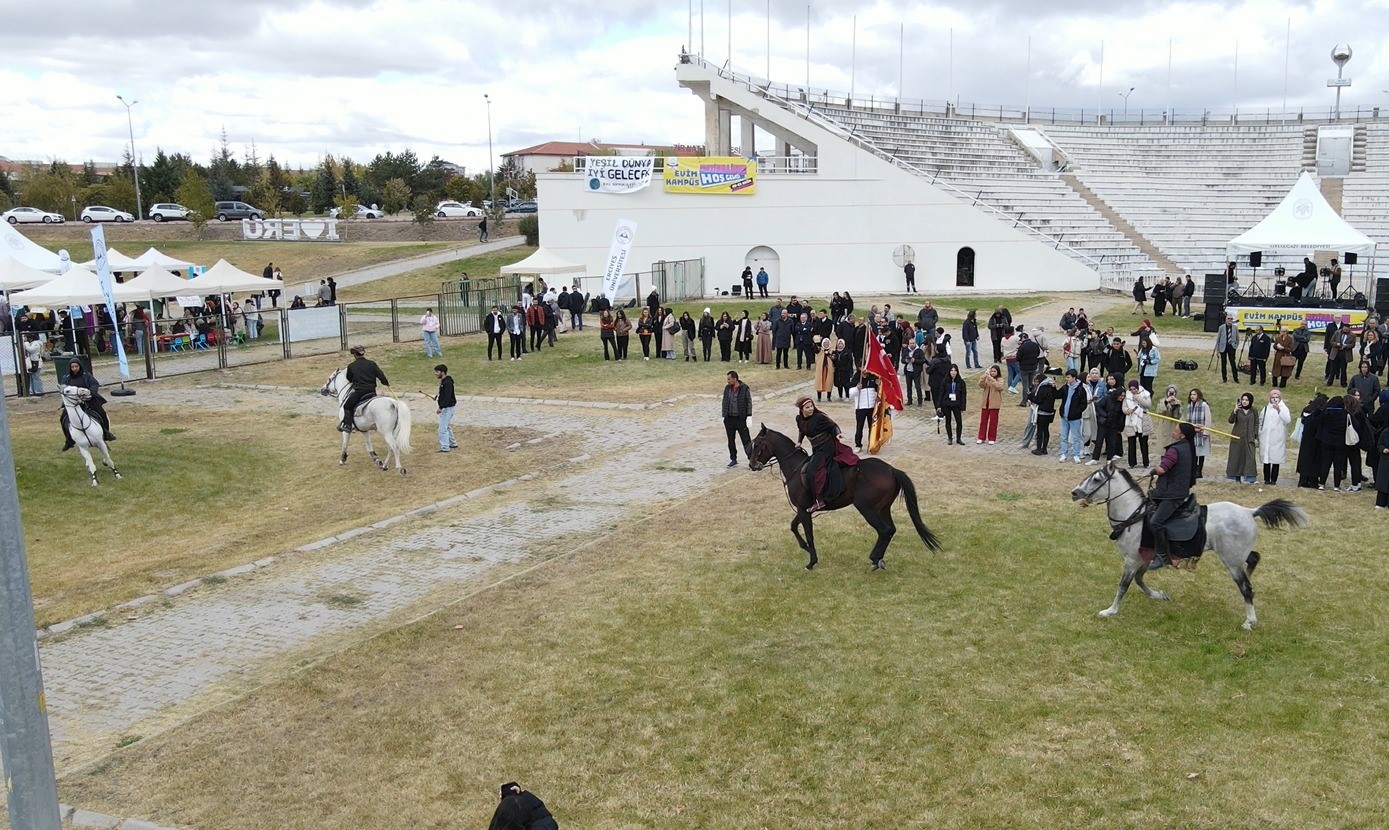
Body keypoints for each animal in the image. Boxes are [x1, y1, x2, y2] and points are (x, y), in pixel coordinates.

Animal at [755, 427, 938, 569]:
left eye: (756, 444)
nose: (752, 464)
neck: (796, 468)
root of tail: (891, 470)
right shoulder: (804, 510)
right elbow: (793, 527)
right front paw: (805, 548)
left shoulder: (803, 510)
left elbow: (808, 534)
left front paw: (811, 562)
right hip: (883, 508)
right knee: (890, 530)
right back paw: (878, 559)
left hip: (866, 508)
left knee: (884, 530)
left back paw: (874, 558)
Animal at [1066, 460, 1305, 630]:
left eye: (1096, 479)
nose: (1074, 493)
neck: (1134, 515)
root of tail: (1249, 511)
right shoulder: (1143, 558)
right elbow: (1140, 580)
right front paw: (1158, 595)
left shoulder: (1132, 560)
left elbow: (1124, 585)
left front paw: (1111, 611)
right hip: (1236, 555)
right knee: (1254, 557)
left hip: (1231, 561)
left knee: (1246, 587)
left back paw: (1250, 621)